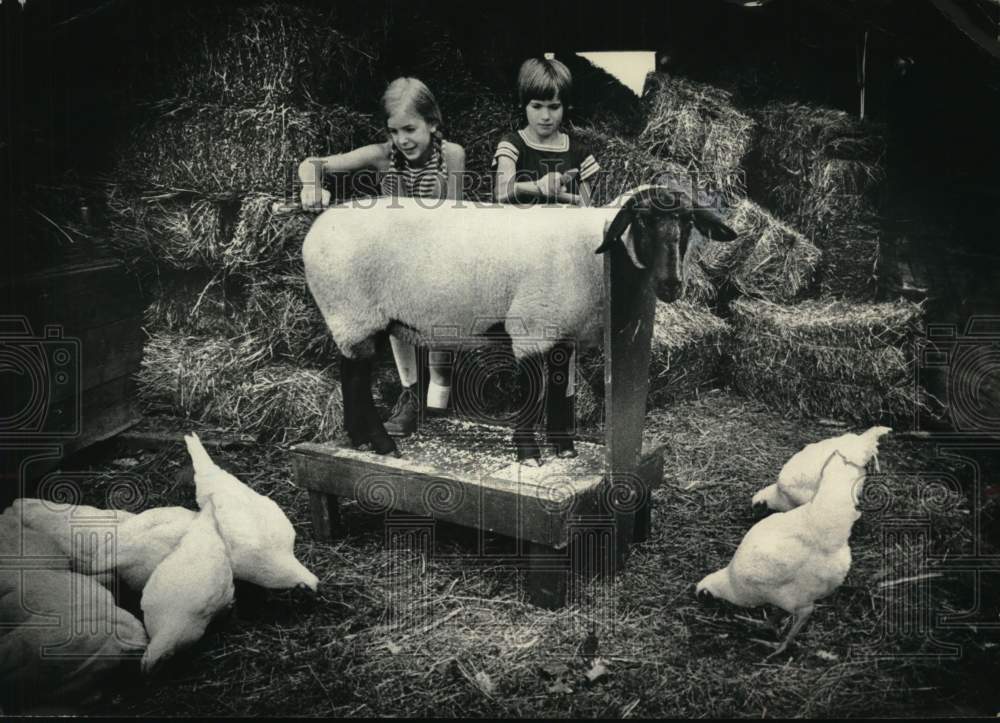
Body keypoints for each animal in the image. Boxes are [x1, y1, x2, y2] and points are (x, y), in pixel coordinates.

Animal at [300, 184, 740, 460]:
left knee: (350, 375)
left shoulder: (561, 332)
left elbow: (561, 390)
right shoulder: (532, 325)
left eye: (687, 224)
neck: (593, 251)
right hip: (353, 313)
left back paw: (360, 440)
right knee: (355, 378)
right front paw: (529, 453)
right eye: (643, 221)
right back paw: (381, 444)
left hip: (352, 320)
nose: (671, 285)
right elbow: (533, 392)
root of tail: (316, 229)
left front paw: (564, 447)